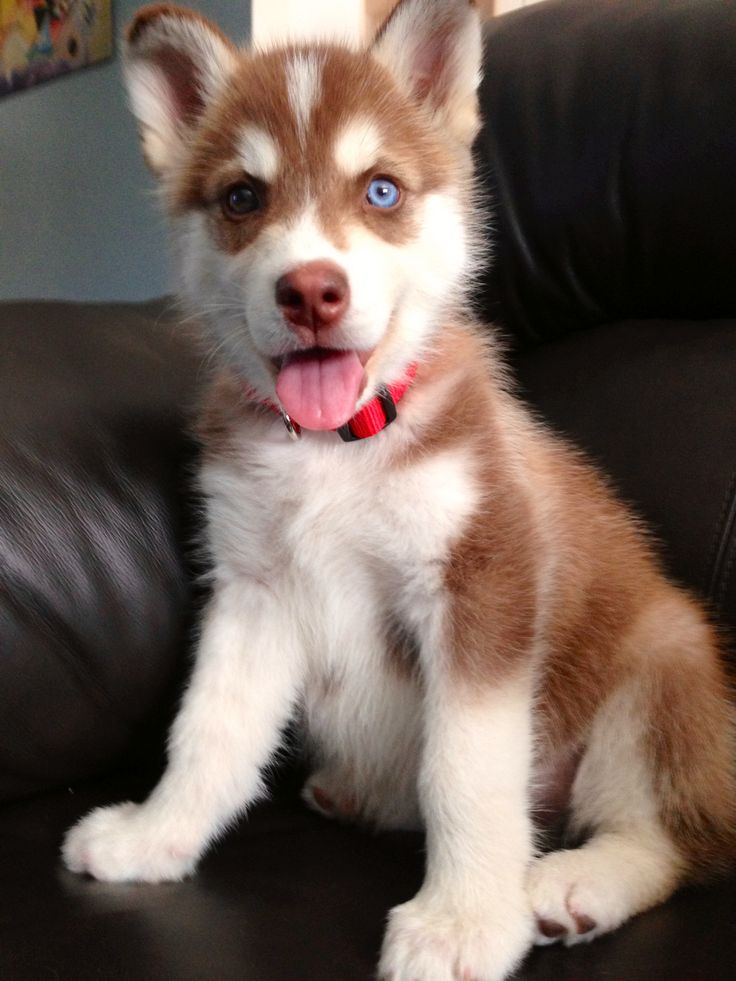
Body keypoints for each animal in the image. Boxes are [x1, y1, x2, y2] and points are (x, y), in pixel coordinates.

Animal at [63, 3, 736, 976]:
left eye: (380, 191)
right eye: (242, 198)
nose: (310, 291)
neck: (334, 451)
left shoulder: (482, 581)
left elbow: (465, 768)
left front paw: (465, 921)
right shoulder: (254, 591)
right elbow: (208, 733)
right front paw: (155, 836)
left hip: (662, 665)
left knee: (674, 836)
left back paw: (570, 881)